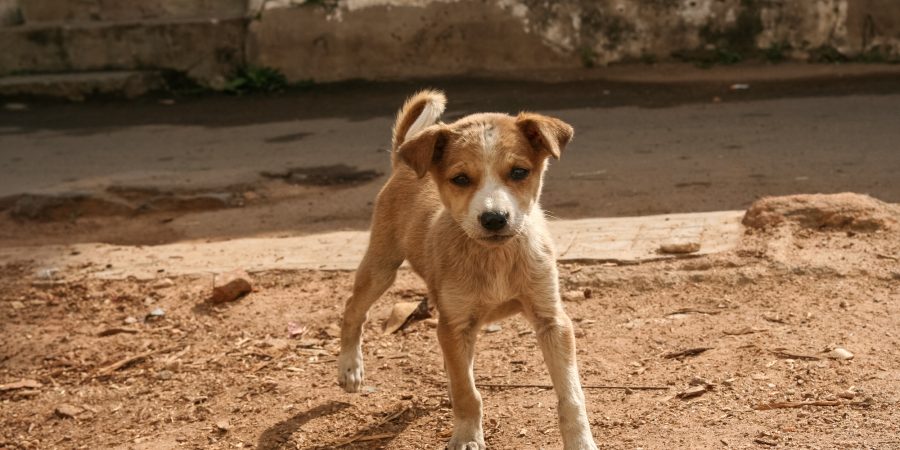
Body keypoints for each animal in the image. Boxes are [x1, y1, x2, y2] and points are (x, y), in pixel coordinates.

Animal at [338, 89, 596, 448]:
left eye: (519, 172)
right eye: (460, 179)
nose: (494, 219)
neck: (496, 258)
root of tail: (401, 163)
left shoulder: (552, 320)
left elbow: (571, 395)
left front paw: (581, 441)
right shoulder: (454, 325)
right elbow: (467, 393)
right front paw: (466, 436)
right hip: (382, 266)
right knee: (353, 309)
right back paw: (350, 368)